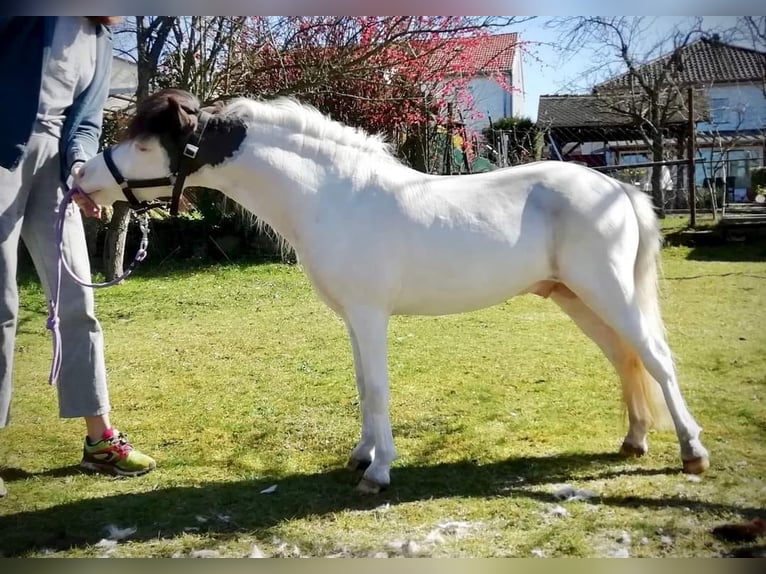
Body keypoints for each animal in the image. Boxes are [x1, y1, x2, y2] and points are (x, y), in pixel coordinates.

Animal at [75, 88, 712, 492]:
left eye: (144, 144)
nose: (82, 177)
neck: (334, 195)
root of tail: (618, 189)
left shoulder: (369, 313)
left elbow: (378, 388)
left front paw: (379, 474)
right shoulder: (352, 319)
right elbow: (362, 387)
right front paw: (362, 457)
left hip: (607, 293)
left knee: (657, 358)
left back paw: (692, 453)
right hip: (577, 299)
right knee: (626, 360)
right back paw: (634, 441)